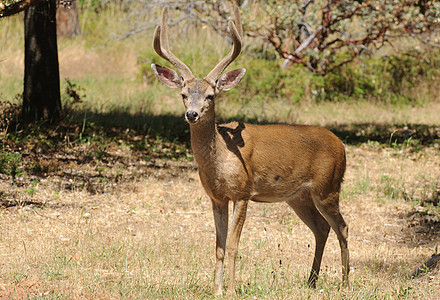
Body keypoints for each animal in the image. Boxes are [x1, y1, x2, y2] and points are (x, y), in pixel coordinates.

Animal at [151, 7, 350, 296]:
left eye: (211, 95)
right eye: (184, 94)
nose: (192, 114)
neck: (220, 161)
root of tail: (341, 145)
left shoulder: (243, 192)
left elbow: (234, 245)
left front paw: (232, 290)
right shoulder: (217, 197)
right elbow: (219, 247)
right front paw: (216, 289)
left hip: (328, 187)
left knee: (342, 227)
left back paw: (346, 282)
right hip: (299, 196)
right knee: (321, 228)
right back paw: (311, 281)